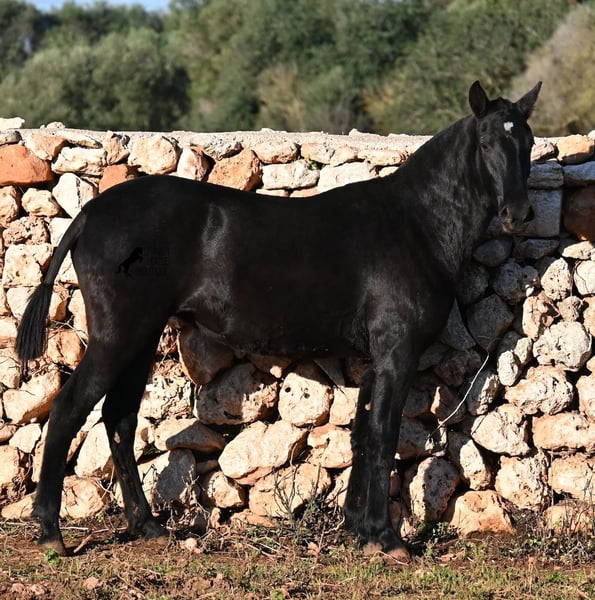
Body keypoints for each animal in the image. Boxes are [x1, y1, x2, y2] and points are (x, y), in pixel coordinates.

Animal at [16, 81, 541, 561]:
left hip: (140, 337)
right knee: (69, 411)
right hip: (118, 335)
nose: (519, 214)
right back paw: (50, 530)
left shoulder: (377, 358)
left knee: (119, 420)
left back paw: (147, 526)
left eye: (529, 141)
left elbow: (362, 434)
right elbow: (384, 433)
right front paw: (387, 539)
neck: (414, 224)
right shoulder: (398, 351)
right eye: (488, 142)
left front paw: (359, 528)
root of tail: (90, 212)